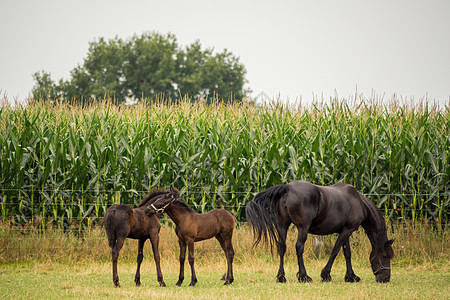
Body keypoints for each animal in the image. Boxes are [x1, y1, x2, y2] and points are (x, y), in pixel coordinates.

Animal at [246, 180, 394, 284]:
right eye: (385, 256)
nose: (385, 279)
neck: (359, 203)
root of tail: (288, 188)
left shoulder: (346, 230)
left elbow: (347, 253)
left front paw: (351, 276)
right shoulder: (347, 230)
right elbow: (335, 250)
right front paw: (326, 275)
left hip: (283, 226)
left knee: (282, 248)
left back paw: (281, 277)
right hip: (303, 228)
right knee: (299, 247)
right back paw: (304, 276)